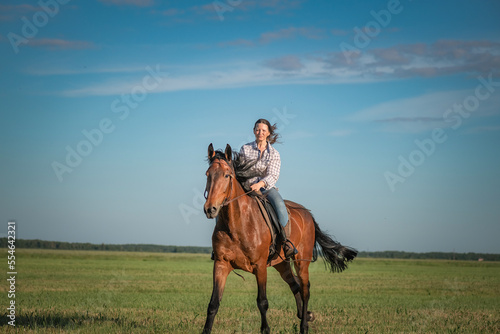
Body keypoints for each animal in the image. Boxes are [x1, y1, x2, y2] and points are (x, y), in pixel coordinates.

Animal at [201, 144, 358, 334]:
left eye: (227, 175)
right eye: (207, 174)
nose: (210, 209)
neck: (238, 224)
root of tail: (307, 213)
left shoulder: (260, 267)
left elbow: (262, 302)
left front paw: (266, 329)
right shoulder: (221, 264)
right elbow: (213, 304)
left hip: (301, 261)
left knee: (305, 289)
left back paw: (304, 326)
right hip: (282, 263)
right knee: (295, 285)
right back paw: (305, 316)